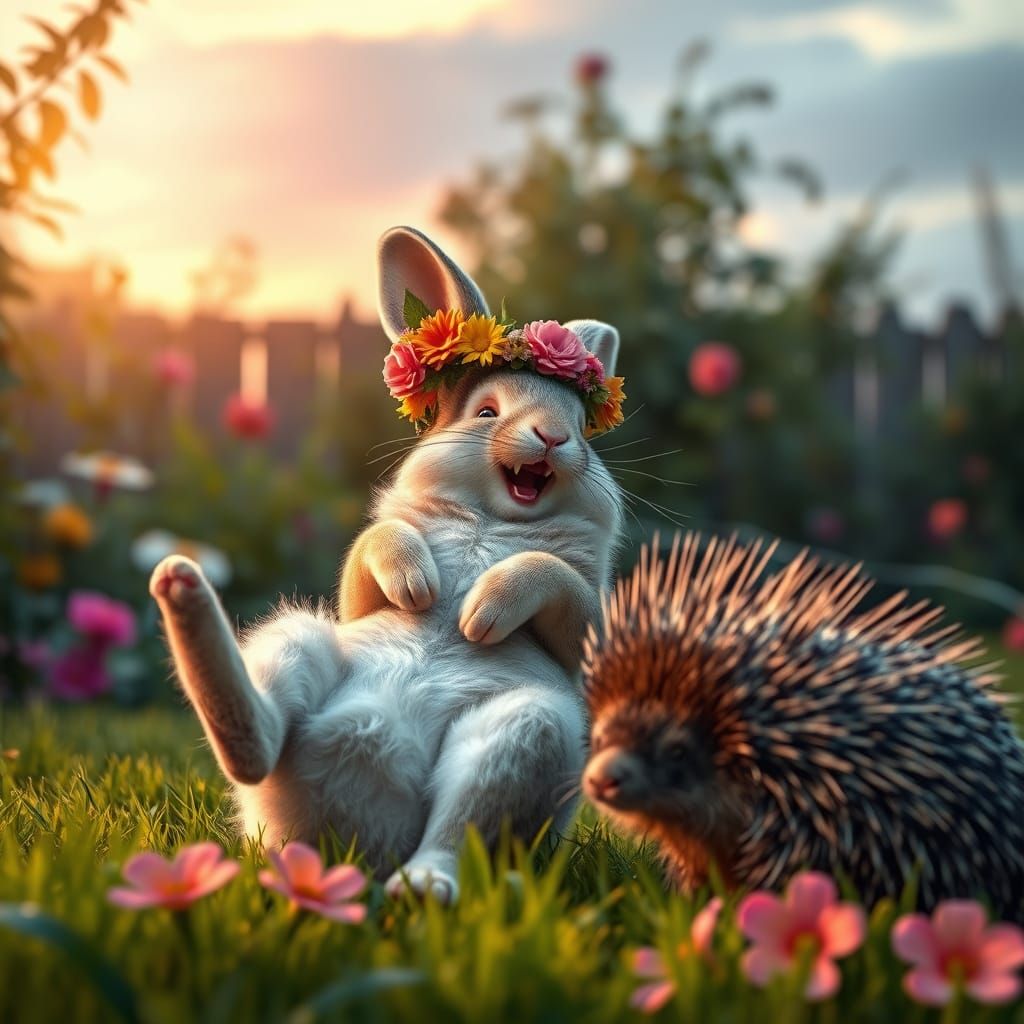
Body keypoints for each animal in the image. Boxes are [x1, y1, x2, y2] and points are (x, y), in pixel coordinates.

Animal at [149, 226, 624, 903]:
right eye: (487, 412)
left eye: (583, 426)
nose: (553, 437)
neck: (493, 518)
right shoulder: (360, 590)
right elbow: (381, 542)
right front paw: (418, 584)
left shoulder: (586, 619)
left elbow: (550, 574)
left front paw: (481, 611)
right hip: (299, 639)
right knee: (259, 741)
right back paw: (181, 586)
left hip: (530, 731)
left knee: (456, 827)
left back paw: (421, 886)